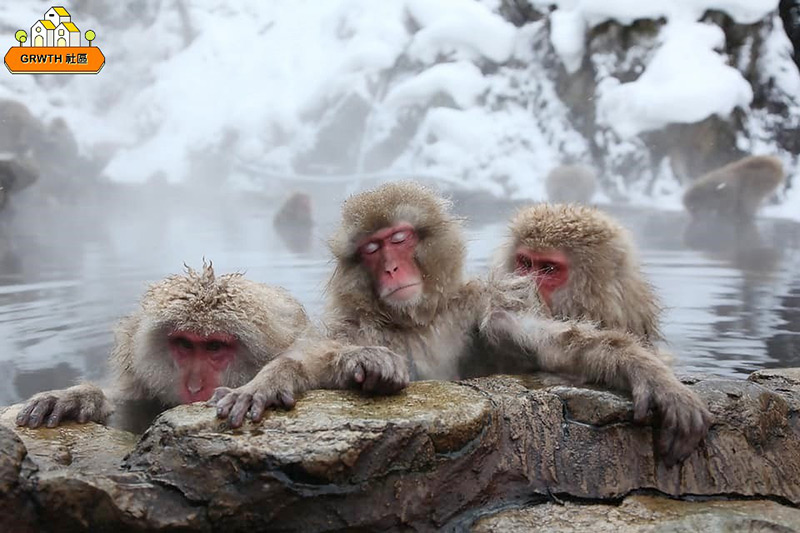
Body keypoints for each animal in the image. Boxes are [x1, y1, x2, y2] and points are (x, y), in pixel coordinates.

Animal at [212, 182, 712, 466]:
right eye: (372, 249)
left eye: (398, 239)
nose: (391, 269)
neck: (420, 319)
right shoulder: (355, 323)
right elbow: (315, 354)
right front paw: (270, 382)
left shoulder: (485, 305)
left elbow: (554, 340)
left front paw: (655, 378)